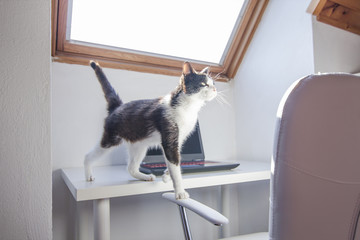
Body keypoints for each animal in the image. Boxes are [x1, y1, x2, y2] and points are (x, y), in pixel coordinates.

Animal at [84, 61, 217, 200]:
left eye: (213, 83)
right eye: (203, 84)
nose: (215, 89)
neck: (188, 107)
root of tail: (117, 106)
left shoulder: (178, 140)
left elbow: (175, 161)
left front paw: (166, 175)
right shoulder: (169, 138)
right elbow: (175, 164)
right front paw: (180, 191)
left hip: (139, 145)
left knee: (131, 168)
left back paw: (145, 176)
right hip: (112, 138)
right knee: (89, 155)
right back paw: (88, 175)